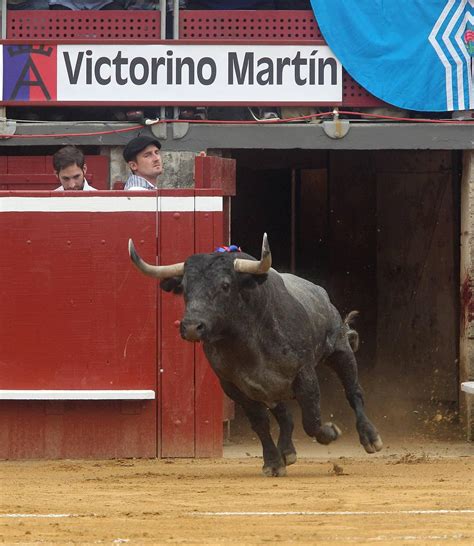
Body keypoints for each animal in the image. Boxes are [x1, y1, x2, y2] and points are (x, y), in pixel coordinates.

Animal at [129, 234, 382, 476]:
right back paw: (286, 452)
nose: (191, 327)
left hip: (340, 350)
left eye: (225, 285)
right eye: (185, 287)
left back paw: (370, 438)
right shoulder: (234, 387)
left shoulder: (305, 373)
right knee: (285, 416)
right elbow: (260, 423)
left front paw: (330, 432)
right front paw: (273, 462)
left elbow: (311, 419)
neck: (245, 342)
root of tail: (321, 293)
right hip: (272, 392)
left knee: (353, 391)